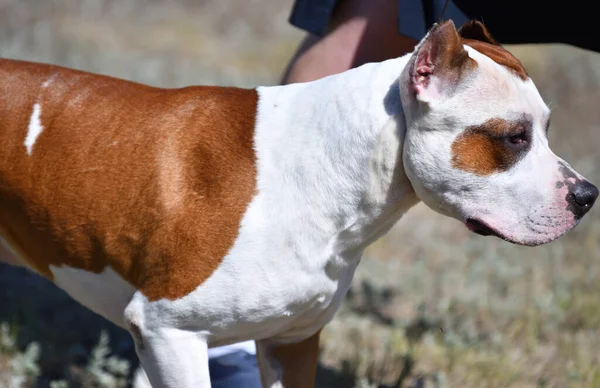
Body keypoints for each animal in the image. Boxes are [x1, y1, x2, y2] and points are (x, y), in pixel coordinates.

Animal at [0, 20, 596, 388]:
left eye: (546, 129)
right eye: (514, 137)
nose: (588, 195)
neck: (323, 168)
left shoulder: (292, 342)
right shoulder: (169, 334)